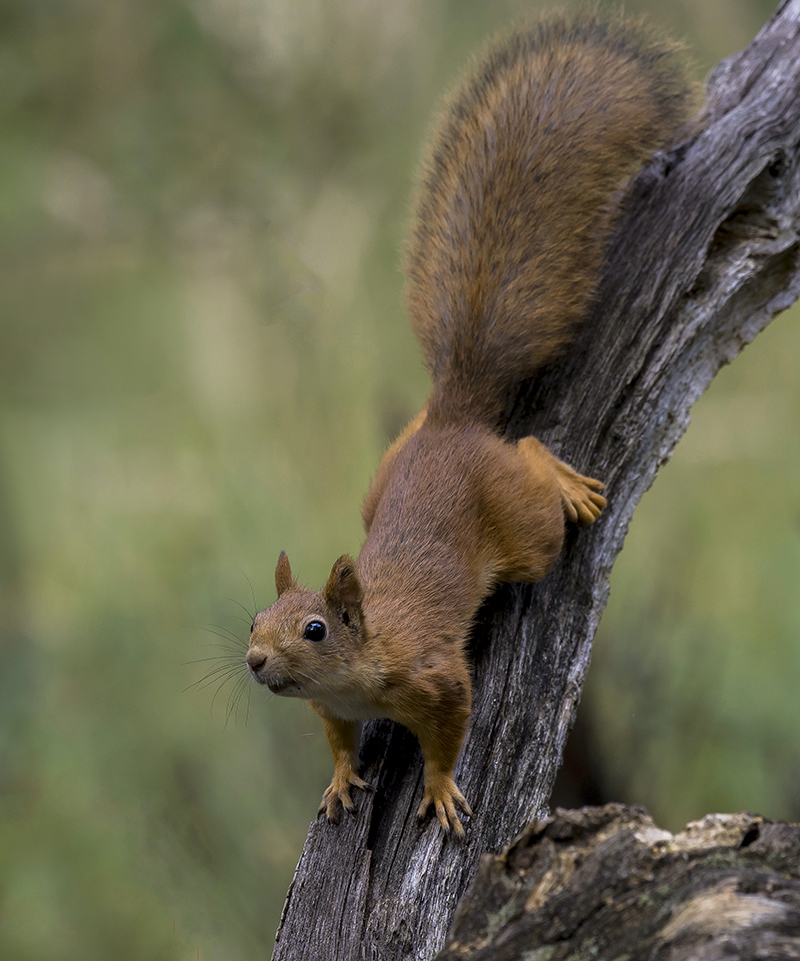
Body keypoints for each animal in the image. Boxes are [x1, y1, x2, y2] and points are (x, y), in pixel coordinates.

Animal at [245, 11, 691, 836]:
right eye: (256, 617)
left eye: (315, 628)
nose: (255, 661)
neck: (365, 656)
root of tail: (454, 419)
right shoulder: (332, 706)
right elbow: (339, 742)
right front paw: (341, 778)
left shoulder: (440, 677)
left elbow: (450, 732)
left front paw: (443, 787)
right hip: (382, 478)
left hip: (523, 530)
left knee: (529, 457)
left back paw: (563, 478)